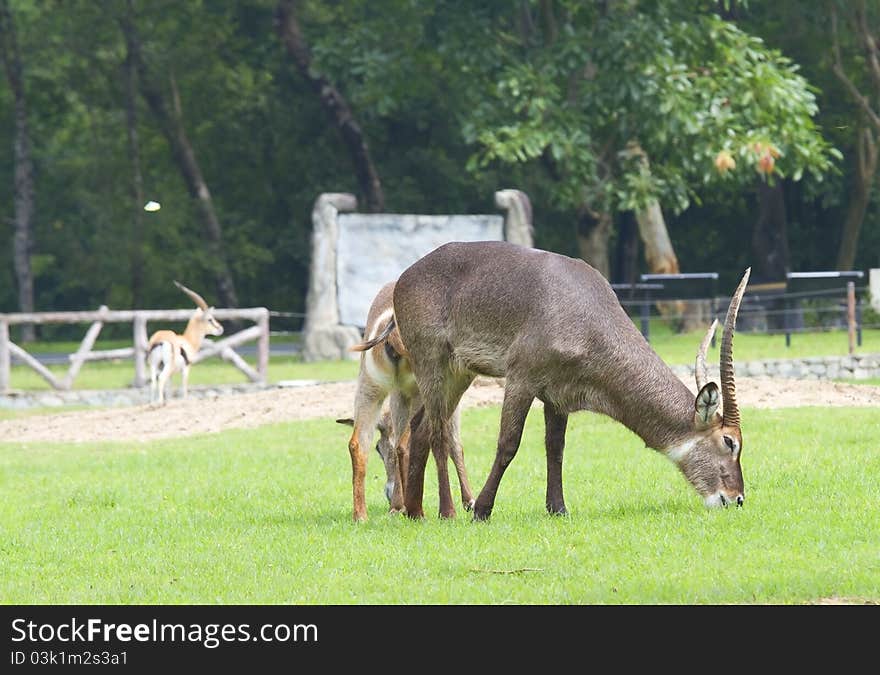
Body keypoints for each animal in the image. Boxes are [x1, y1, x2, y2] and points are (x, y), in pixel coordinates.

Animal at [336, 280, 474, 524]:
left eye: (379, 449)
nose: (388, 492)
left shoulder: (399, 394)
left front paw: (395, 506)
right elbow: (455, 443)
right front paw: (469, 501)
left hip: (371, 386)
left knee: (359, 442)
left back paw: (363, 515)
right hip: (424, 387)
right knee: (409, 440)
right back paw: (416, 510)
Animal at [392, 240, 748, 520]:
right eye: (729, 441)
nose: (736, 499)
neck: (586, 313)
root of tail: (405, 277)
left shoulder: (558, 394)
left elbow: (556, 448)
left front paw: (558, 508)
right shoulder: (522, 378)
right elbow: (509, 443)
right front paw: (482, 509)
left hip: (459, 372)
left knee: (421, 428)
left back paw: (415, 511)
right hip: (431, 362)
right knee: (438, 433)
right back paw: (447, 511)